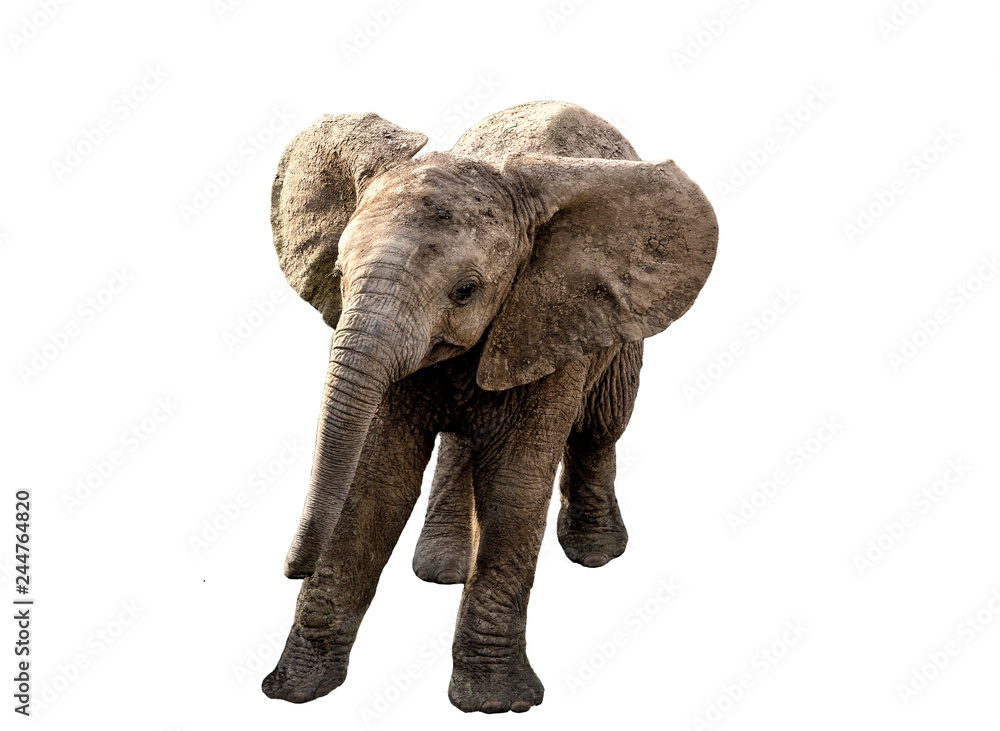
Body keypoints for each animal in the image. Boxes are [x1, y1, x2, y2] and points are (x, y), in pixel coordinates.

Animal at [261, 100, 718, 713]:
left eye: (465, 291)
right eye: (337, 274)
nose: (290, 568)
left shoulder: (548, 317)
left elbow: (513, 485)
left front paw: (494, 704)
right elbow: (374, 480)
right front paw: (294, 691)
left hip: (623, 321)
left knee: (603, 426)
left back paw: (595, 556)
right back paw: (440, 571)